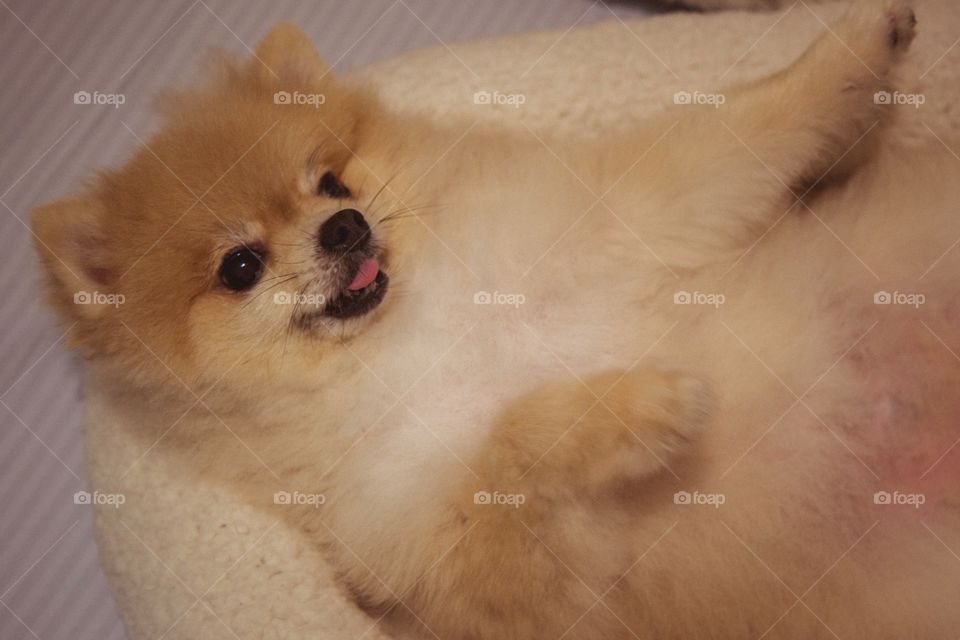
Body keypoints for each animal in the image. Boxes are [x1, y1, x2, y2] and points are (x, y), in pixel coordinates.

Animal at [30, 0, 960, 636]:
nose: (346, 227)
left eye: (332, 183)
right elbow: (511, 442)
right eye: (240, 267)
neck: (417, 340)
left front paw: (857, 47)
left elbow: (738, 132)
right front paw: (646, 407)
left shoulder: (621, 220)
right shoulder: (464, 563)